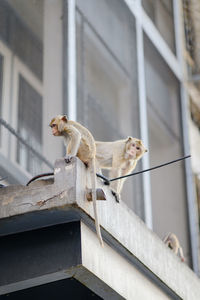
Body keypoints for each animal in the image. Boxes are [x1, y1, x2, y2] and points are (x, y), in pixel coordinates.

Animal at [49, 115, 104, 246]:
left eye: (54, 125)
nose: (52, 131)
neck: (65, 124)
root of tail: (92, 157)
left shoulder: (67, 128)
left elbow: (76, 135)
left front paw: (69, 155)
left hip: (84, 150)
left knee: (73, 139)